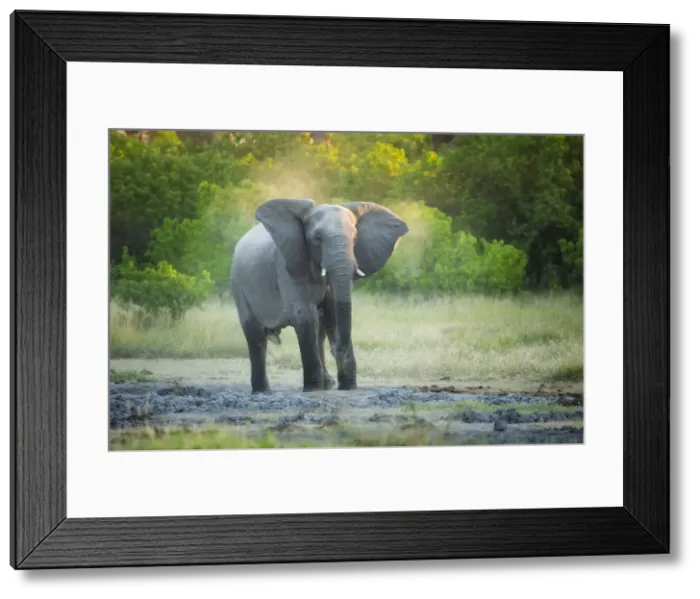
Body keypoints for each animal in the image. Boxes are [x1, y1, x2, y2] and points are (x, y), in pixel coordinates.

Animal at [230, 198, 409, 393]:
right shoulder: (287, 266)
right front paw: (312, 389)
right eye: (317, 239)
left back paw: (327, 383)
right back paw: (263, 391)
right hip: (238, 284)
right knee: (255, 336)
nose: (335, 349)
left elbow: (333, 315)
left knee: (319, 332)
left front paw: (348, 387)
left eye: (355, 238)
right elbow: (305, 315)